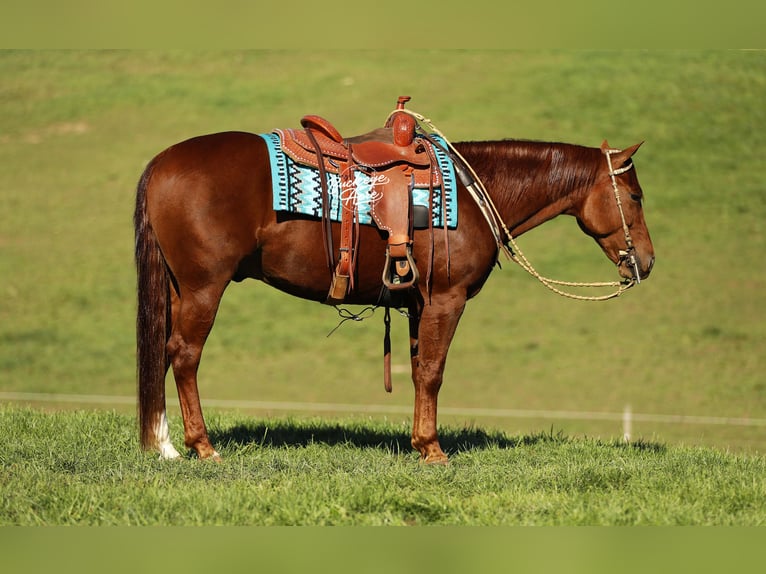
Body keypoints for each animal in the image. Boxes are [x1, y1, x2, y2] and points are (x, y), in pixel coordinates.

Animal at [134, 123, 655, 464]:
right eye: (635, 196)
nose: (646, 262)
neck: (471, 192)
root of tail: (162, 162)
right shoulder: (446, 298)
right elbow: (433, 372)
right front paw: (432, 450)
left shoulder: (418, 304)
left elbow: (418, 370)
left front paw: (419, 442)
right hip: (204, 286)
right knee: (184, 355)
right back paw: (200, 446)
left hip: (179, 289)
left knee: (164, 352)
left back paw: (163, 443)